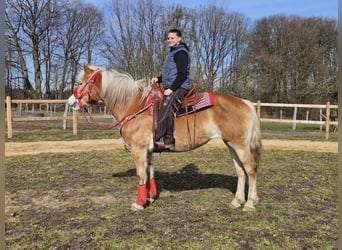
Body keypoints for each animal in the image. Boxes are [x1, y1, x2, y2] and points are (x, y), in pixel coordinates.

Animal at [68, 64, 264, 211]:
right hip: (231, 144)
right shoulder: (148, 151)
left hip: (240, 145)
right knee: (240, 171)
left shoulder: (138, 150)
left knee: (250, 168)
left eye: (81, 82)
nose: (70, 102)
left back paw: (250, 203)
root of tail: (245, 103)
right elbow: (150, 173)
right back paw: (237, 201)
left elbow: (141, 175)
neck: (134, 106)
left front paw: (139, 203)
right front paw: (151, 197)